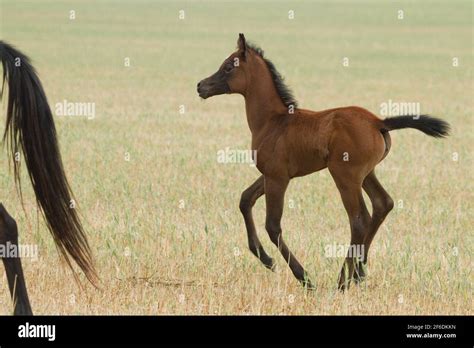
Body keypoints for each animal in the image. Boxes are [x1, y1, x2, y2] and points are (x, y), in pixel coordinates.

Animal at [198, 34, 450, 290]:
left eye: (228, 67)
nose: (201, 86)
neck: (273, 121)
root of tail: (378, 122)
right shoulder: (272, 174)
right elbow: (245, 199)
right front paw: (266, 259)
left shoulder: (277, 177)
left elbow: (272, 225)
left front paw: (304, 277)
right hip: (366, 174)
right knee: (383, 203)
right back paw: (359, 272)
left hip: (344, 175)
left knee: (359, 219)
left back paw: (343, 280)